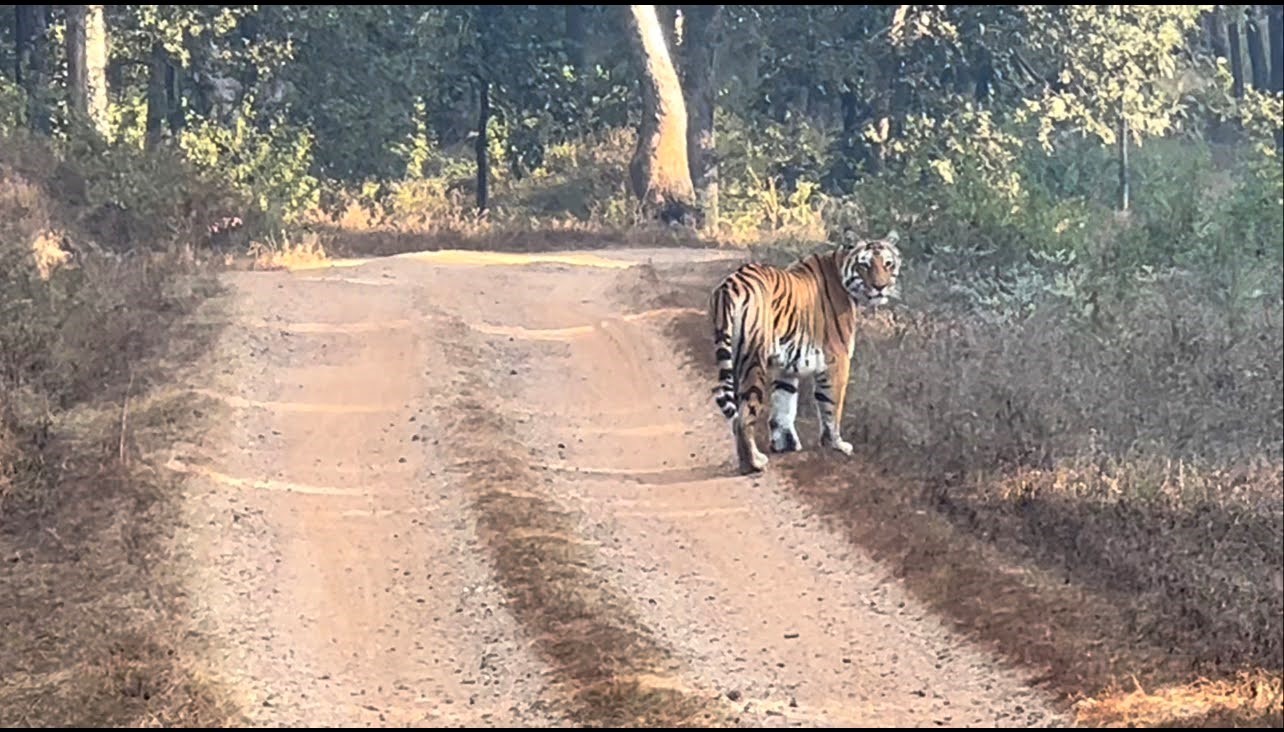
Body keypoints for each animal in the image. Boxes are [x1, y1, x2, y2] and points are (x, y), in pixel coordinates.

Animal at [708, 229, 903, 474]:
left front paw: (784, 444)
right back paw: (754, 462)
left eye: (887, 263)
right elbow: (832, 406)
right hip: (753, 359)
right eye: (865, 265)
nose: (880, 287)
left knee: (736, 416)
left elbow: (783, 404)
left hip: (735, 356)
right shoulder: (837, 360)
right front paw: (836, 444)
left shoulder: (785, 366)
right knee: (744, 415)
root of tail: (730, 285)